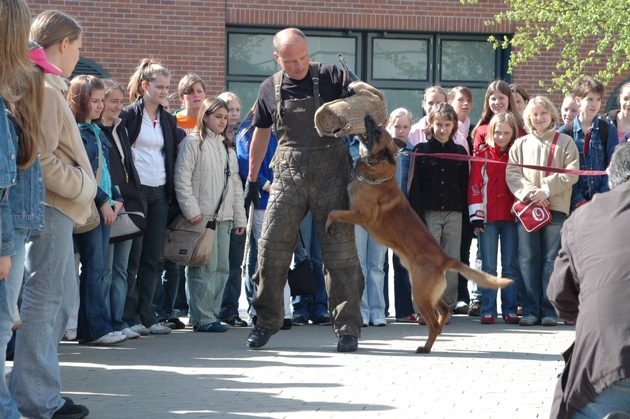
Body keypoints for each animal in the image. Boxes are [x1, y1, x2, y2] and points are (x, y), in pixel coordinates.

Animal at [326, 115, 512, 354]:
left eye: (376, 132)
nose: (368, 117)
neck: (378, 171)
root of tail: (445, 258)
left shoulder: (360, 216)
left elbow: (333, 212)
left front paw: (327, 225)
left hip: (420, 293)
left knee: (432, 322)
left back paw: (426, 346)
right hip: (429, 293)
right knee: (444, 310)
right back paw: (438, 331)